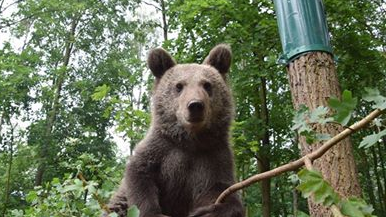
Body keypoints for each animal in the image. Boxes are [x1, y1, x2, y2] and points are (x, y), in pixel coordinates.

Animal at [107, 44, 243, 217]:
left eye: (207, 85)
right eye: (179, 86)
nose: (195, 105)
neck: (191, 141)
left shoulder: (214, 158)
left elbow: (222, 191)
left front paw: (210, 211)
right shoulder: (161, 149)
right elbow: (139, 175)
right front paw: (153, 212)